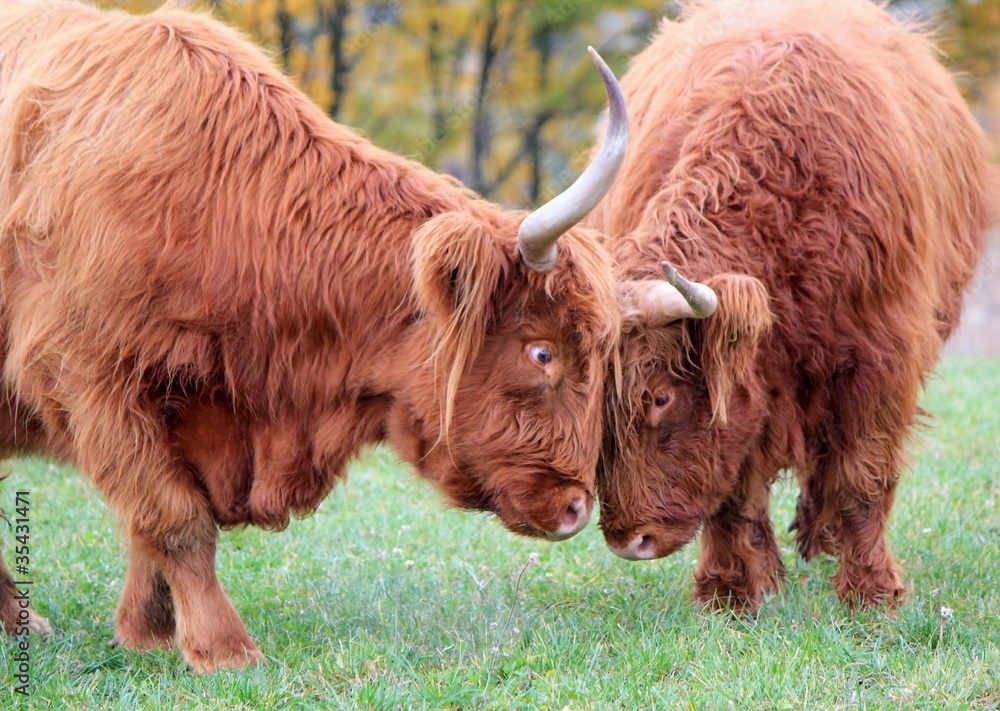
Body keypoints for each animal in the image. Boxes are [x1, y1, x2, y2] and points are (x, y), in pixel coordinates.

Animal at [0, 1, 628, 671]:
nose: (576, 508)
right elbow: (175, 516)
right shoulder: (90, 379)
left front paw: (147, 630)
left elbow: (154, 522)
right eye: (542, 352)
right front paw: (223, 648)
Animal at [591, 0, 995, 613]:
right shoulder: (752, 379)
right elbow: (735, 487)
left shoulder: (878, 359)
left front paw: (872, 594)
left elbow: (861, 478)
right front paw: (734, 591)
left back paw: (822, 542)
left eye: (660, 397)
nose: (628, 540)